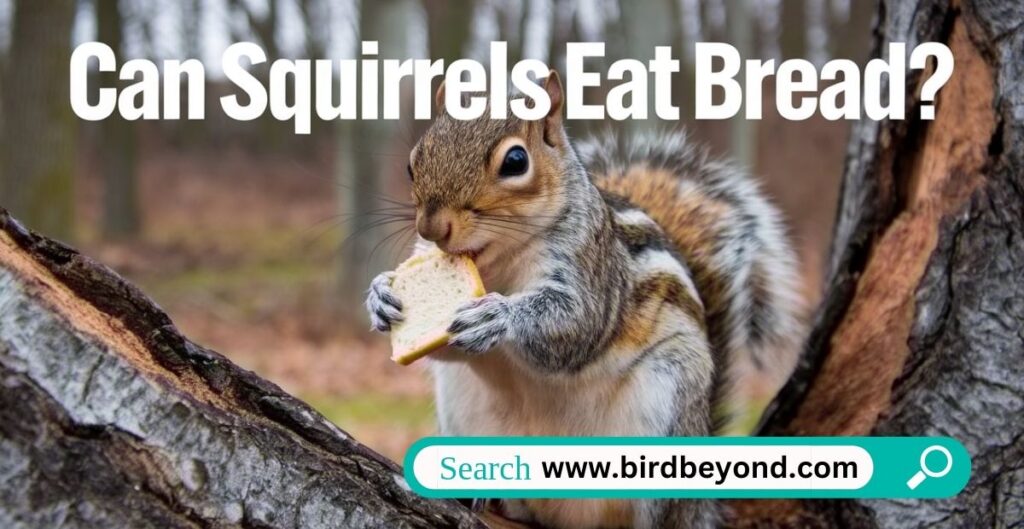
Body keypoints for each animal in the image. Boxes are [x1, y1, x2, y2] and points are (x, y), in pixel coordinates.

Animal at [368, 71, 806, 527]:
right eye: (413, 160)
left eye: (515, 161)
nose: (432, 226)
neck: (498, 261)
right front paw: (381, 295)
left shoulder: (591, 269)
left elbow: (578, 325)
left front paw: (499, 316)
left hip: (671, 398)